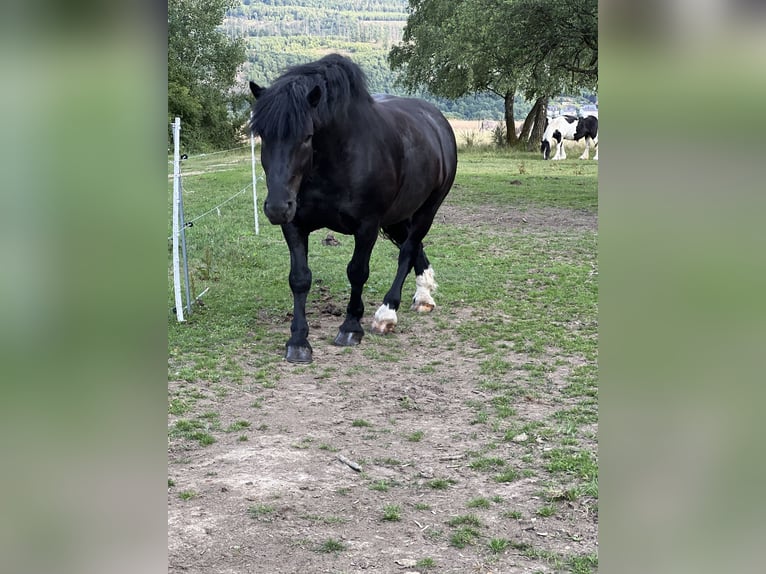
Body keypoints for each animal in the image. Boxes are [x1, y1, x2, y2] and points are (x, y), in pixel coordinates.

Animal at [249, 54, 458, 364]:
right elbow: (300, 278)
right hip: (398, 216)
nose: (276, 207)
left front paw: (350, 327)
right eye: (263, 135)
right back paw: (424, 296)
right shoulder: (295, 225)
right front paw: (298, 340)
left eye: (307, 136)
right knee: (413, 248)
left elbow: (357, 272)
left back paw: (387, 313)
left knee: (408, 250)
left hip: (427, 209)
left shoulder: (367, 226)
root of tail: (437, 122)